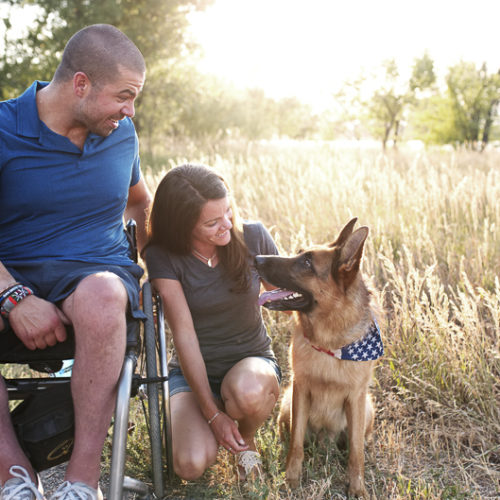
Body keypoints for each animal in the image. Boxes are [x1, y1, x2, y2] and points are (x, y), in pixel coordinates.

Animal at [256, 218, 384, 496]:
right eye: (299, 254)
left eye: (307, 263)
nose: (256, 258)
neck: (330, 342)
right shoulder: (300, 391)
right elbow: (296, 444)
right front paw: (291, 480)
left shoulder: (356, 398)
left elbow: (356, 452)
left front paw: (357, 487)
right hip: (287, 403)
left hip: (367, 408)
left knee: (360, 442)